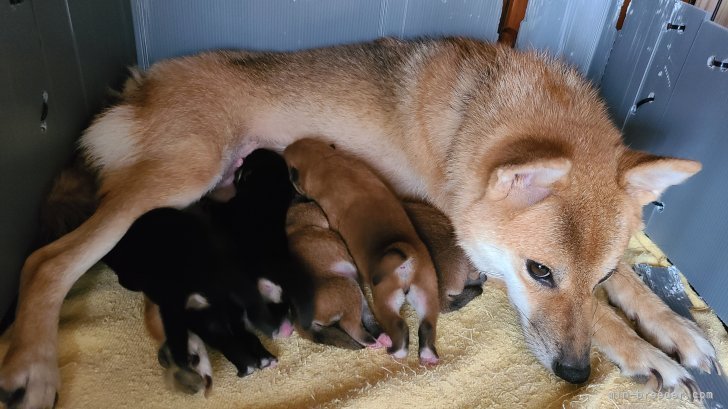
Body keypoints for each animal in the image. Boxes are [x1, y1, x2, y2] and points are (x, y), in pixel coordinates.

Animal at [102, 149, 310, 392]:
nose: (246, 155)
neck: (263, 198)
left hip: (204, 316)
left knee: (229, 340)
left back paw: (248, 365)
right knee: (244, 336)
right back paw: (264, 360)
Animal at [284, 138, 440, 364]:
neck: (324, 161)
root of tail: (406, 254)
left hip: (384, 299)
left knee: (396, 327)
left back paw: (396, 351)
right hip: (426, 293)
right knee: (426, 325)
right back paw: (427, 355)